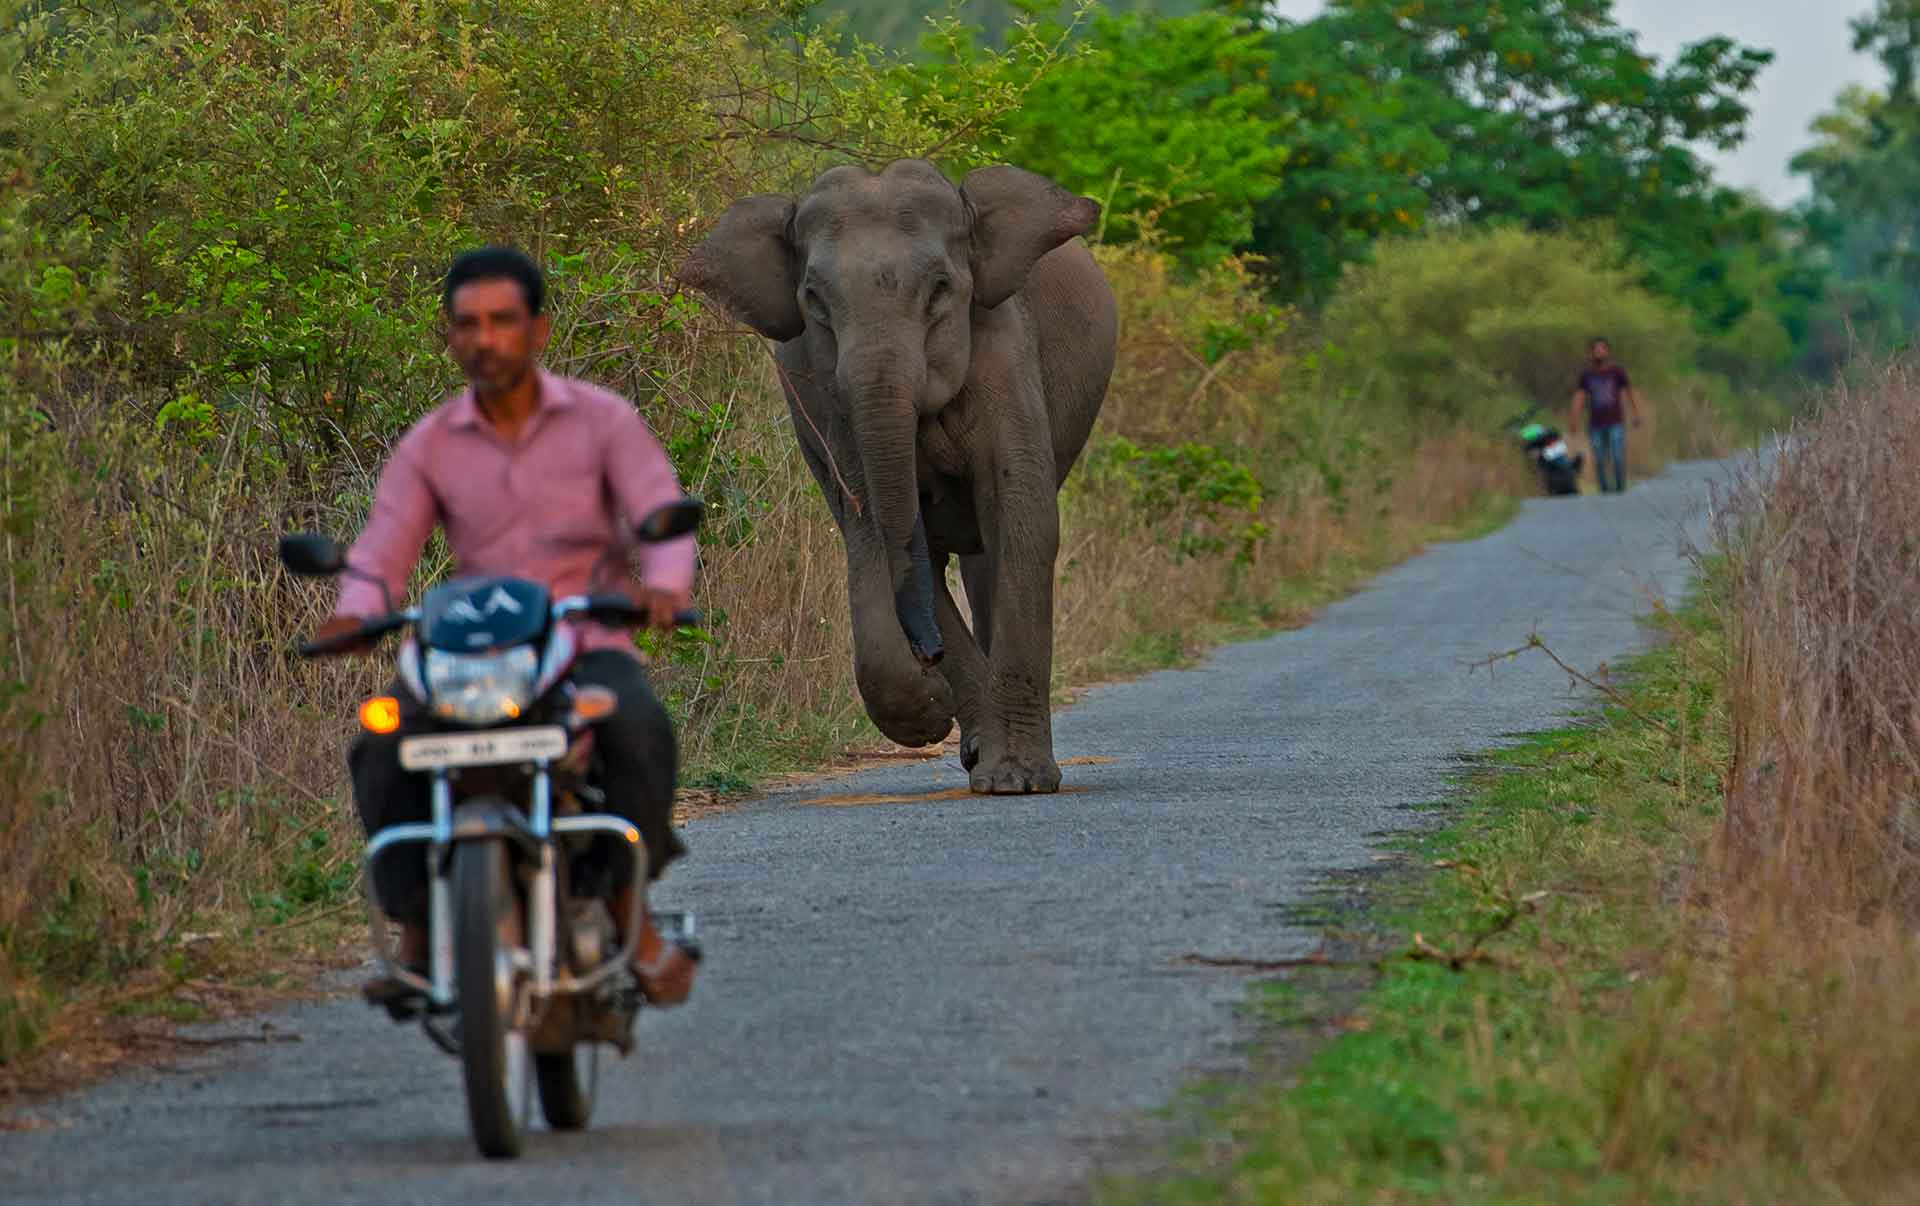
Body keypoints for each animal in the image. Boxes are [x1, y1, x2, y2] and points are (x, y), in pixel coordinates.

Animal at [678, 159, 1116, 794]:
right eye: (814, 301)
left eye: (940, 289)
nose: (926, 656)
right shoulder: (823, 396)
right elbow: (875, 527)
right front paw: (932, 713)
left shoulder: (1004, 350)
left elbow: (1023, 518)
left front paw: (1017, 780)